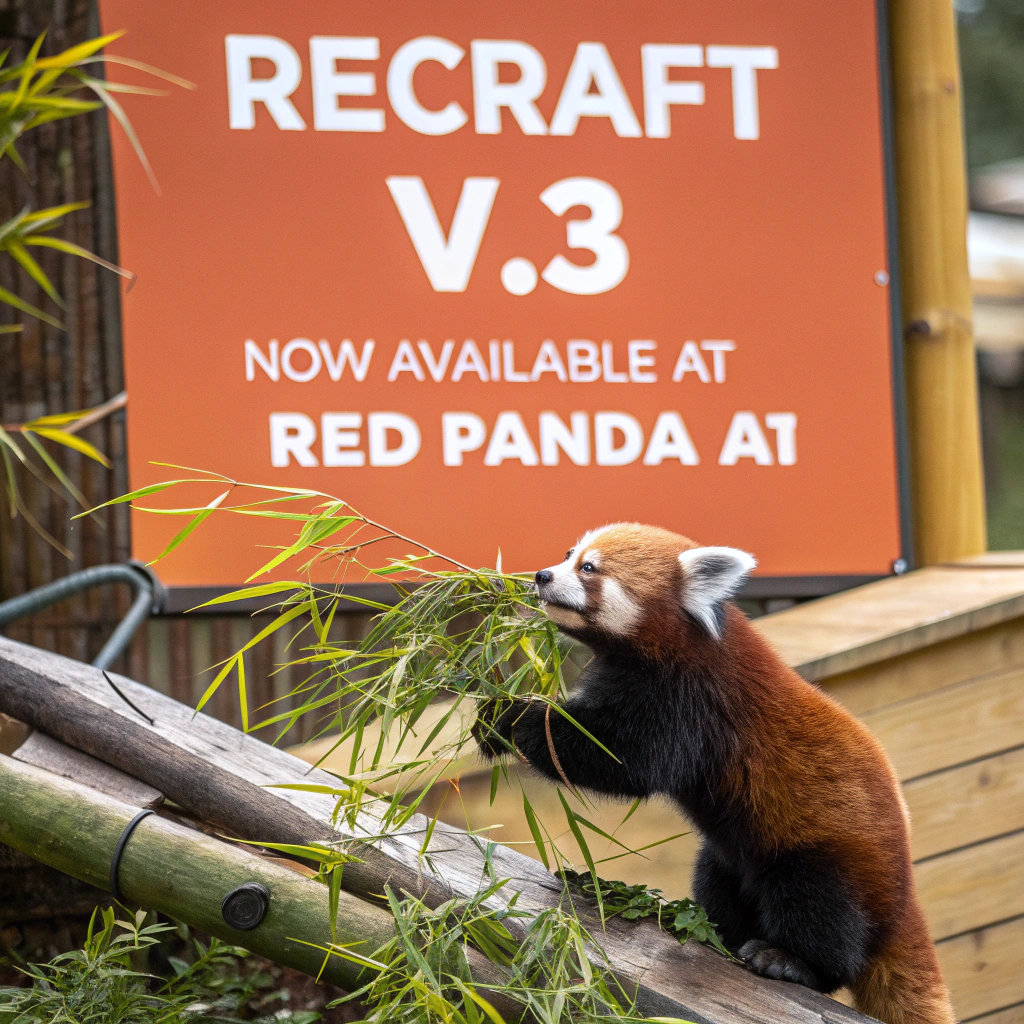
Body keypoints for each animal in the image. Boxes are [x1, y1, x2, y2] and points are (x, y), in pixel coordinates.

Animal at [473, 523, 955, 1024]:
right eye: (570, 554)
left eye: (589, 568)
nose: (543, 575)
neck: (677, 642)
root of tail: (902, 895)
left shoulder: (689, 701)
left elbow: (620, 761)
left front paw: (512, 718)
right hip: (726, 857)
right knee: (720, 883)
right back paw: (712, 930)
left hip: (828, 852)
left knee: (824, 917)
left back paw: (791, 961)